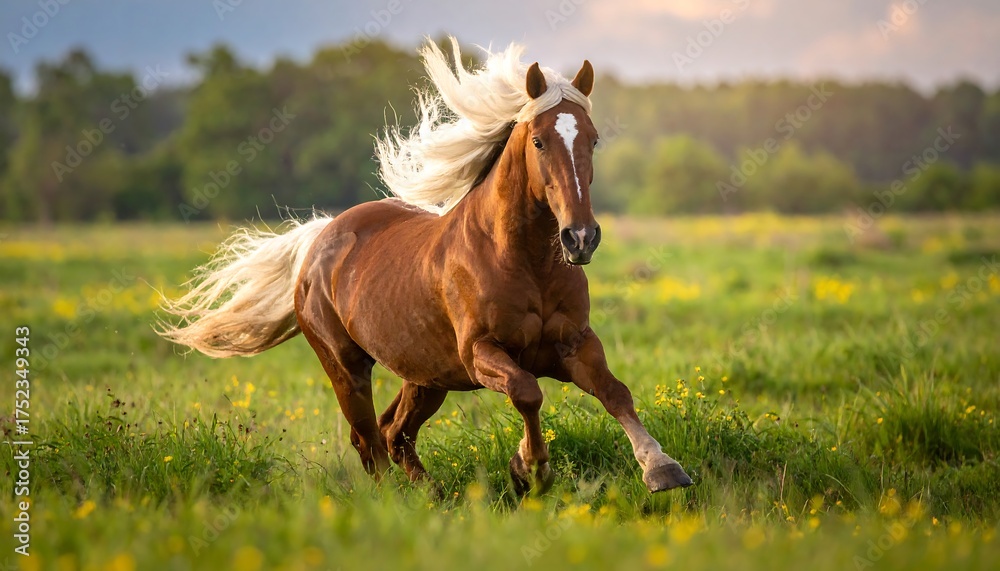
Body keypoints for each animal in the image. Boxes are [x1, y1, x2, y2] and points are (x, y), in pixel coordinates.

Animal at [158, 37, 692, 494]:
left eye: (594, 140)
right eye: (539, 141)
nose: (580, 238)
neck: (525, 261)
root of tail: (319, 241)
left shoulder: (574, 343)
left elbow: (615, 391)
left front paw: (662, 468)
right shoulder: (481, 352)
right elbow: (527, 393)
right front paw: (532, 469)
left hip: (426, 376)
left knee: (395, 433)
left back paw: (430, 494)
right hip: (347, 366)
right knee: (368, 439)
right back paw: (397, 503)